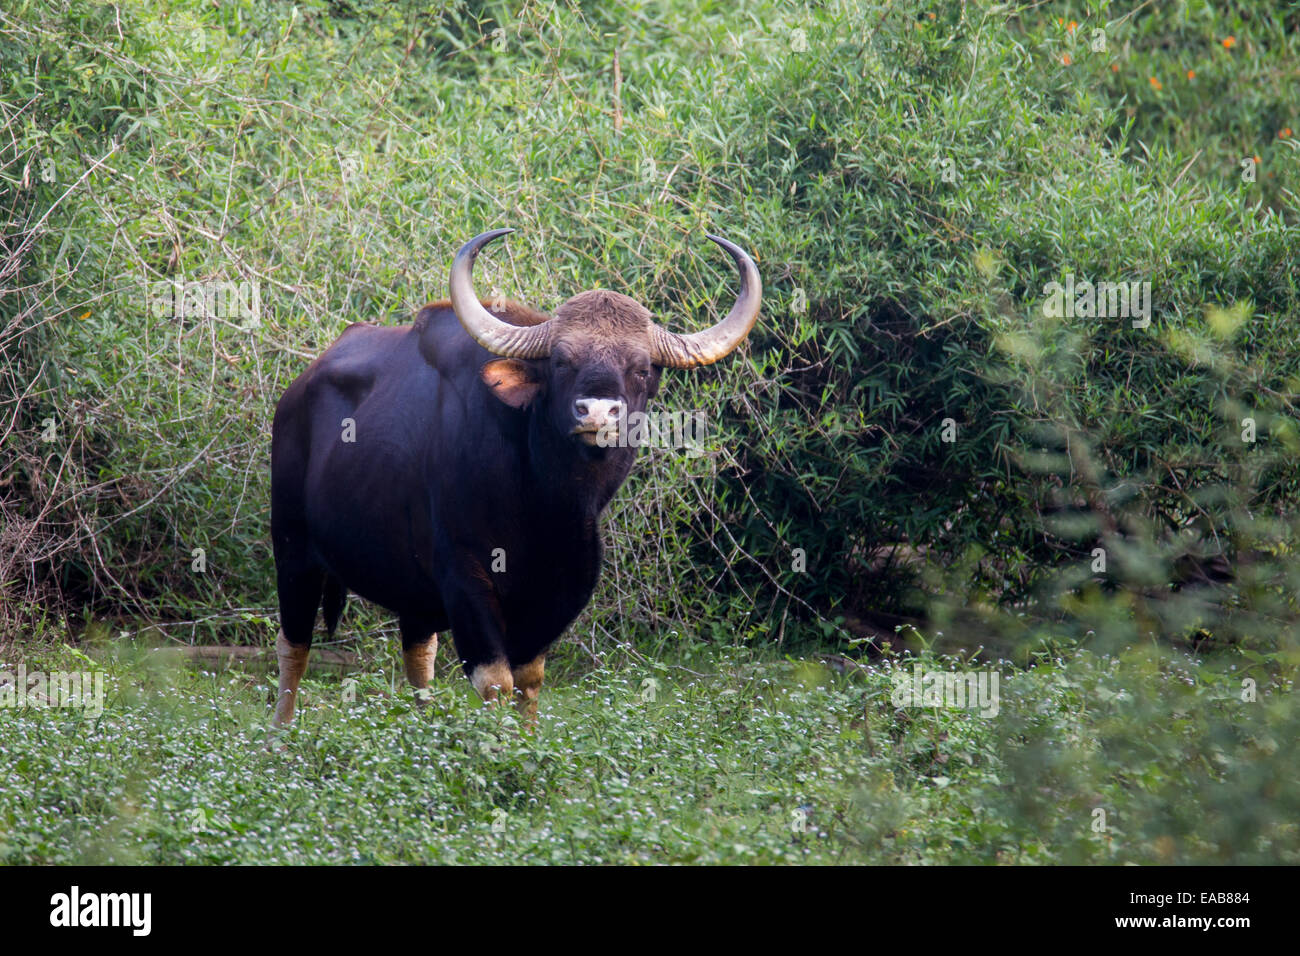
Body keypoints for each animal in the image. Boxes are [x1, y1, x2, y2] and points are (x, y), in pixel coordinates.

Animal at [274, 230, 759, 723]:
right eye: (561, 362)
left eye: (641, 368)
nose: (597, 412)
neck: (542, 502)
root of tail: (297, 392)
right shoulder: (465, 580)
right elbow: (496, 681)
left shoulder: (561, 590)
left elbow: (529, 680)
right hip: (292, 548)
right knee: (294, 646)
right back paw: (282, 733)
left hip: (410, 592)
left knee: (418, 654)